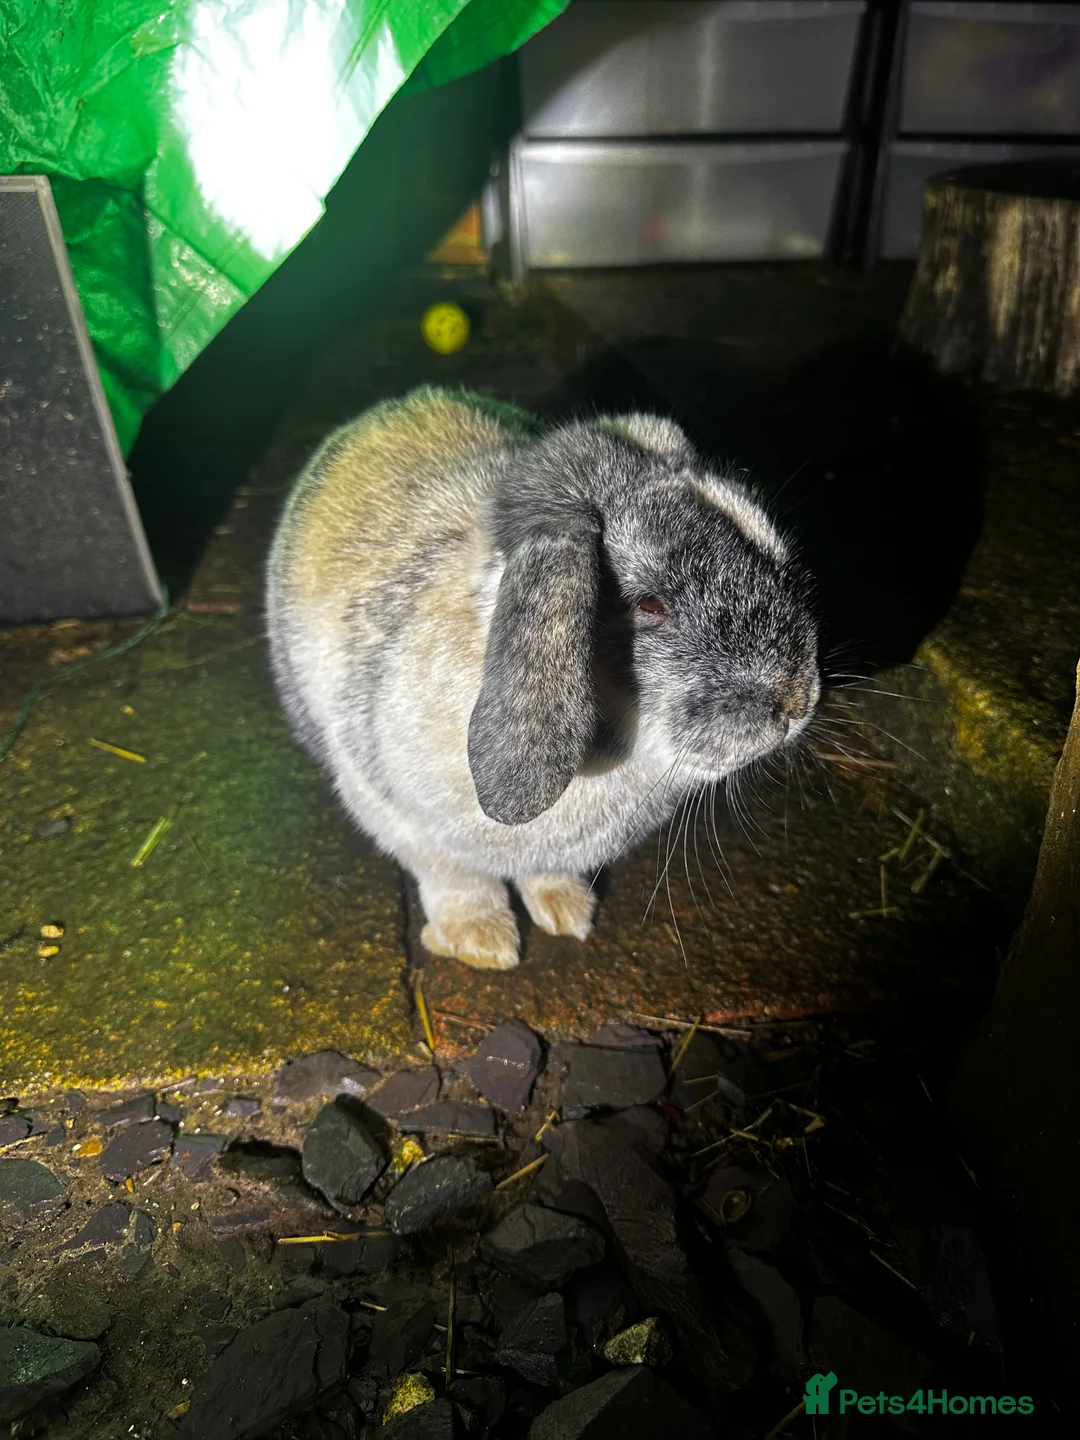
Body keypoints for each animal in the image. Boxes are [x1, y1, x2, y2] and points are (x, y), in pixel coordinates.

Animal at [266, 385, 820, 971]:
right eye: (649, 605)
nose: (796, 700)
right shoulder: (407, 827)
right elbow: (459, 886)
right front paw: (485, 944)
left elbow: (545, 874)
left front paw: (568, 912)